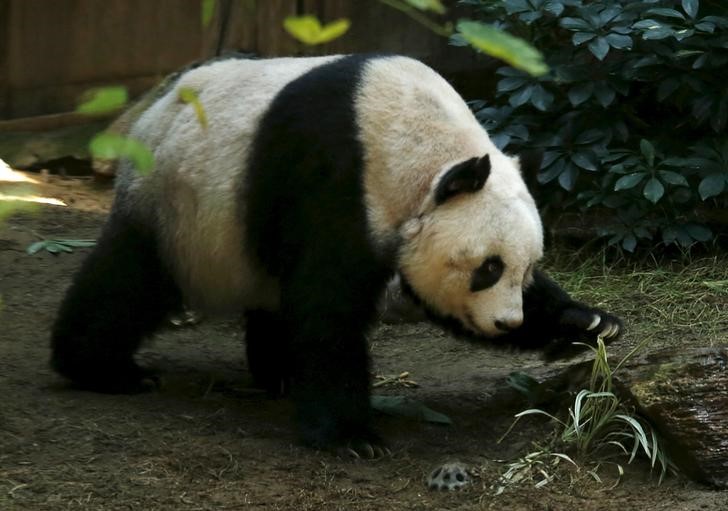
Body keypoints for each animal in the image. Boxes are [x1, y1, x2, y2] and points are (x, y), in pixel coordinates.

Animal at [49, 56, 620, 456]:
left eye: (524, 271)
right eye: (488, 268)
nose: (506, 323)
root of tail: (154, 109)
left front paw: (589, 323)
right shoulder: (335, 178)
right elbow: (329, 307)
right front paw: (351, 435)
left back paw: (278, 376)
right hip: (175, 207)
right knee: (129, 282)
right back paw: (106, 370)